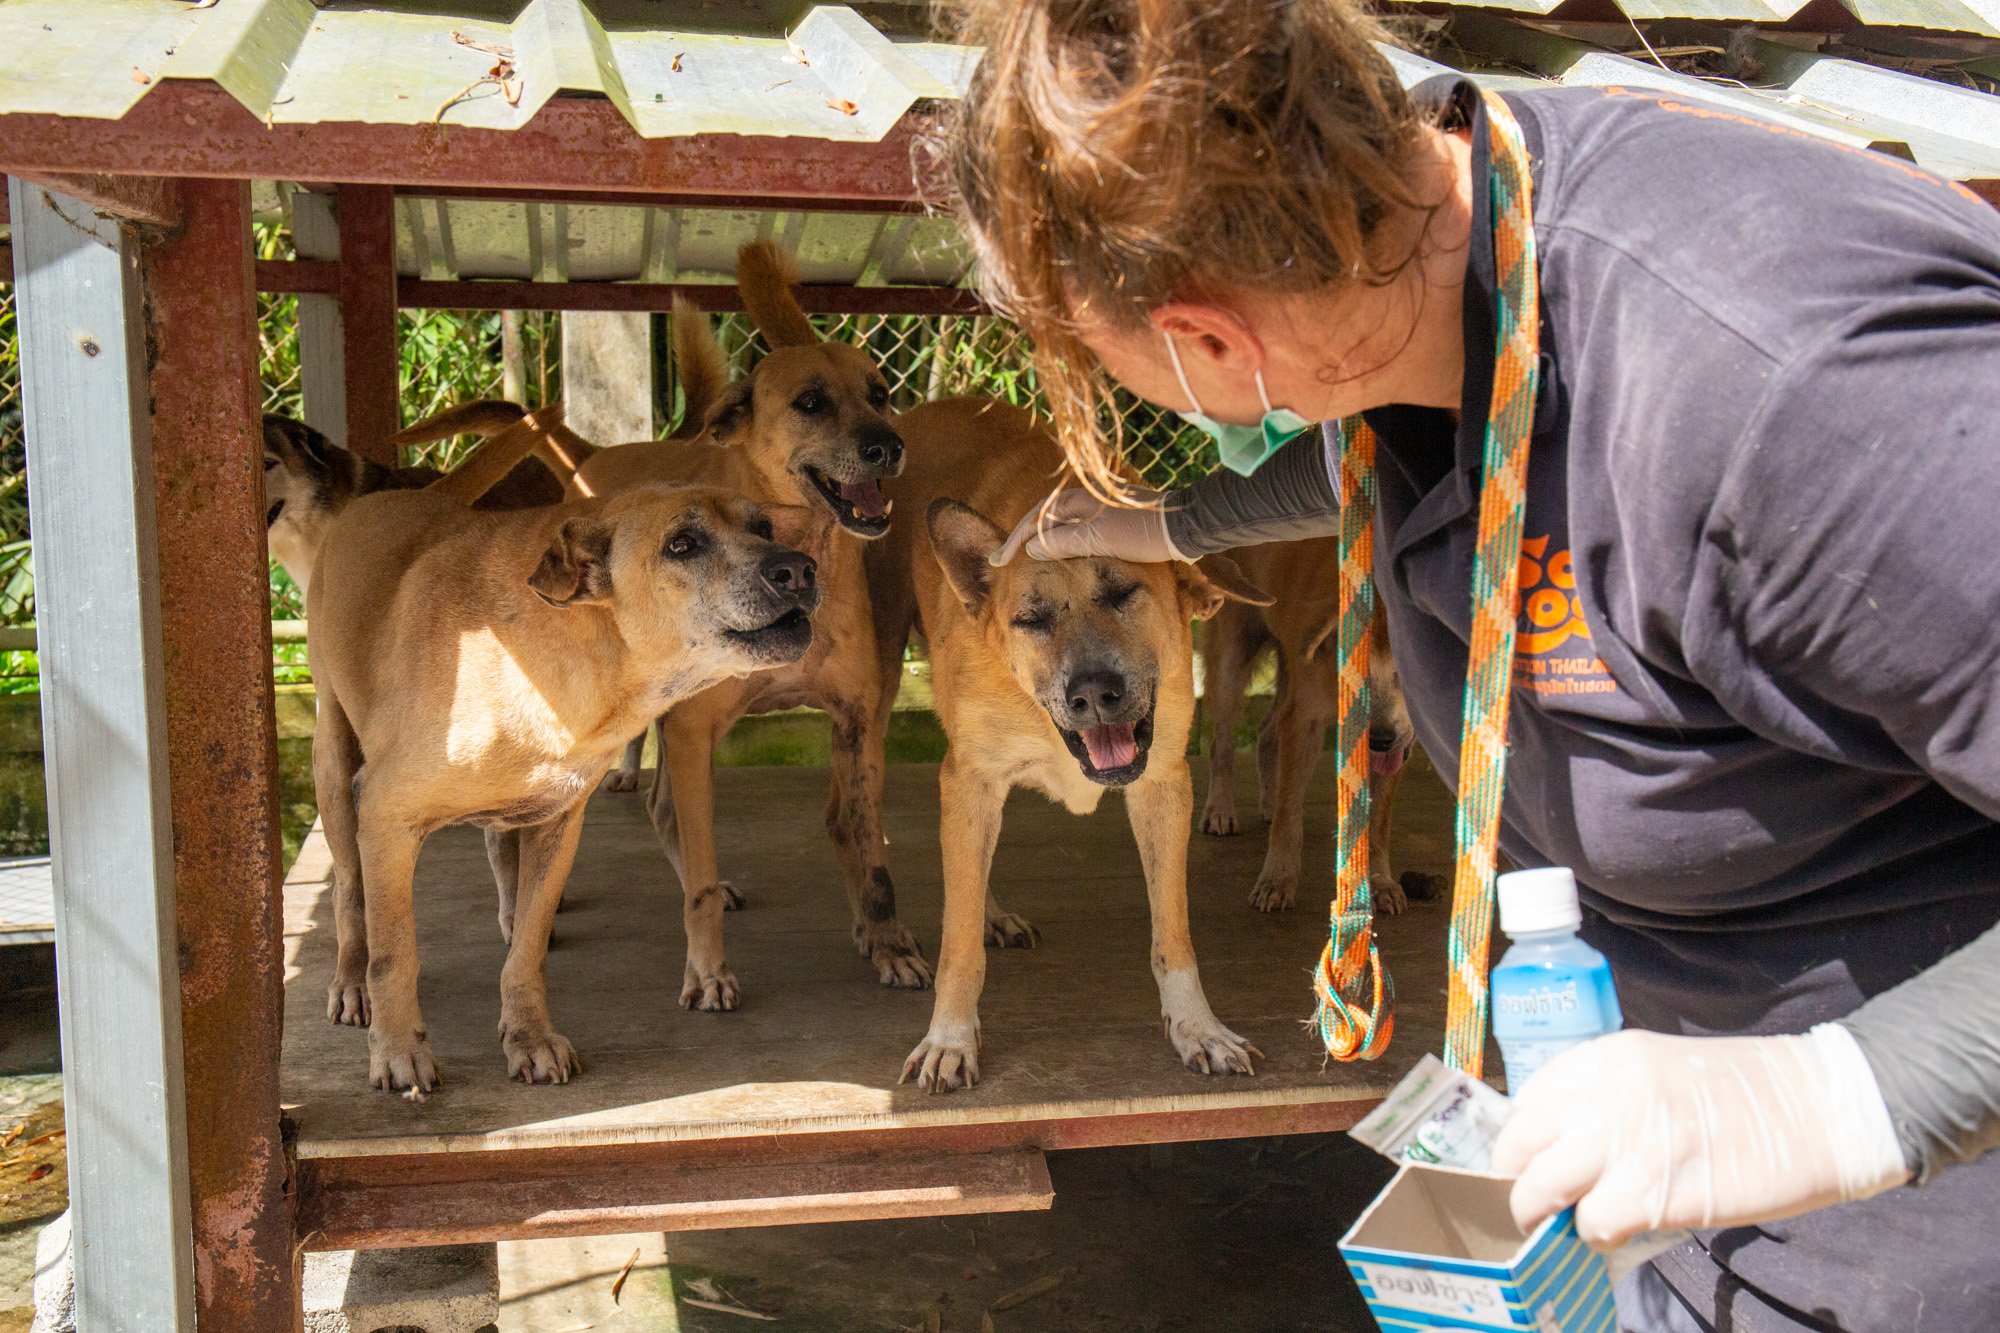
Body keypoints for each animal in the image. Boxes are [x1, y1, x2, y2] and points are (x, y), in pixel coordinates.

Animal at [306, 418, 820, 1088]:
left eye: (763, 528)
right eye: (681, 545)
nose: (802, 569)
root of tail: (400, 495)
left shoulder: (557, 824)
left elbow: (527, 949)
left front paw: (528, 1034)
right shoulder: (387, 819)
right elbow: (395, 952)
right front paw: (397, 1049)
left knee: (496, 849)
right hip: (335, 768)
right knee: (349, 890)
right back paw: (350, 981)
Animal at [868, 394, 1272, 1088]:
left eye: (1124, 592)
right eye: (1031, 619)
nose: (1094, 694)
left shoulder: (1164, 786)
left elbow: (1173, 934)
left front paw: (1197, 1027)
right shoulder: (971, 778)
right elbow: (957, 943)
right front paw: (950, 1037)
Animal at [1192, 536, 1432, 908]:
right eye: (1354, 677)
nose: (1378, 740)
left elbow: (1378, 824)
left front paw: (1380, 882)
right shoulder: (1304, 718)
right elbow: (1289, 817)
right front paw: (1278, 879)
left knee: (1266, 732)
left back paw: (1268, 801)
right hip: (1233, 654)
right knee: (1222, 742)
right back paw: (1220, 809)